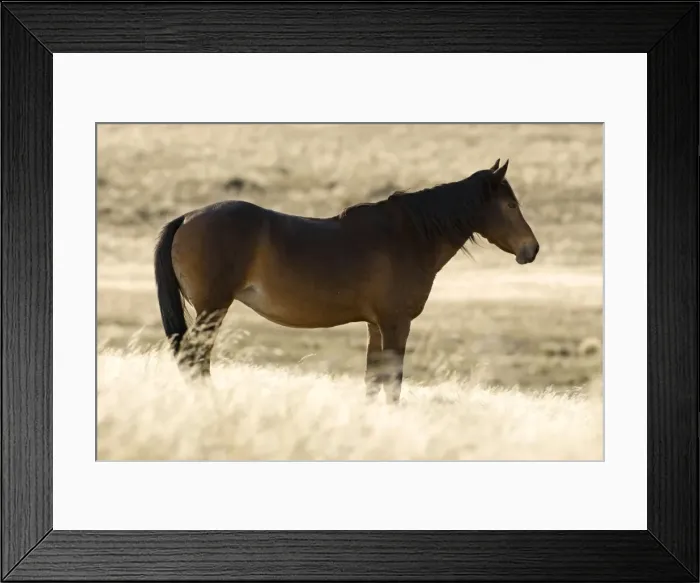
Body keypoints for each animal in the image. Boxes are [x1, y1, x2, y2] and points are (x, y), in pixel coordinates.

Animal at [154, 159, 539, 404]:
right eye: (510, 205)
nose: (531, 249)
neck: (409, 236)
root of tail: (187, 218)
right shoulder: (396, 323)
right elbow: (393, 382)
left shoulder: (375, 325)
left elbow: (372, 380)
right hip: (212, 309)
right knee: (194, 358)